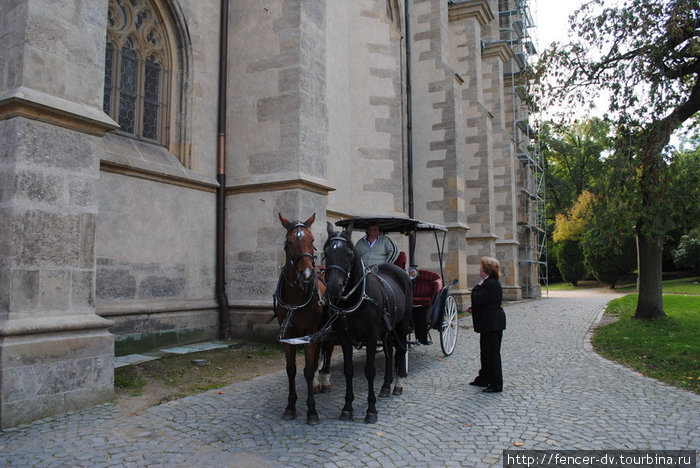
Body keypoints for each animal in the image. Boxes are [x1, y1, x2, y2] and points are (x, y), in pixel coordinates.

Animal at [274, 214, 334, 426]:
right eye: (289, 242)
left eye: (312, 240)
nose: (307, 275)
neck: (296, 297)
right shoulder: (288, 336)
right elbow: (291, 370)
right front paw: (290, 406)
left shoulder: (310, 334)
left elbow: (307, 370)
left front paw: (312, 411)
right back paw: (317, 383)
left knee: (327, 352)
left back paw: (324, 380)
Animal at [324, 221, 412, 422]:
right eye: (326, 251)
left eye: (349, 253)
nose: (333, 287)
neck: (355, 298)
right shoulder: (344, 337)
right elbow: (348, 369)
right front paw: (347, 408)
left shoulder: (371, 336)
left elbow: (370, 370)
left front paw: (371, 409)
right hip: (387, 330)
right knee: (389, 353)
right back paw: (386, 386)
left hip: (402, 326)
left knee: (401, 350)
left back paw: (398, 384)